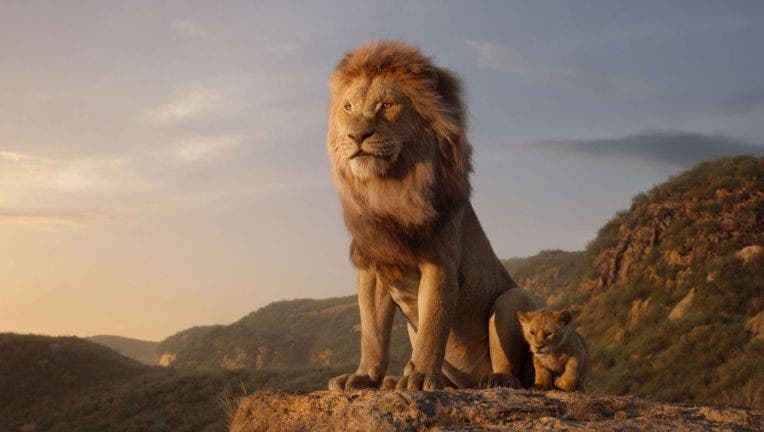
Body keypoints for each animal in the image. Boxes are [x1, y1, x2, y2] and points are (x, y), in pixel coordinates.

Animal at [326, 41, 538, 391]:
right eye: (348, 108)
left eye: (386, 105)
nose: (357, 136)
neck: (389, 188)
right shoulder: (374, 267)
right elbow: (372, 333)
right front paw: (364, 376)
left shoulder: (440, 263)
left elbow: (433, 326)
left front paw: (422, 376)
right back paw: (393, 381)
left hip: (513, 299)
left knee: (514, 369)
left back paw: (495, 380)